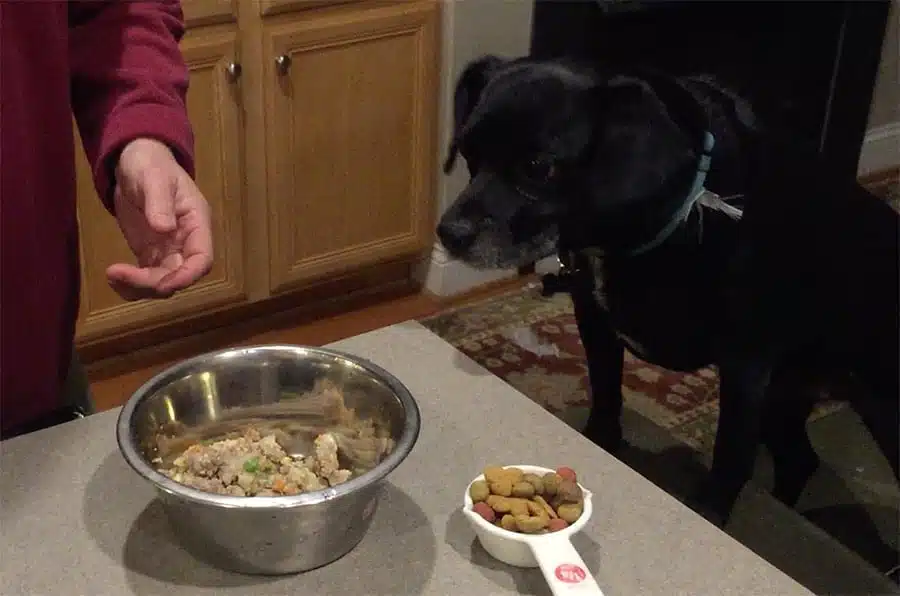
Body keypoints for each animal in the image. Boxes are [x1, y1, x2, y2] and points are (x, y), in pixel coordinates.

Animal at [438, 53, 900, 524]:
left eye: (538, 167)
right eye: (469, 153)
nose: (448, 233)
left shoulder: (745, 370)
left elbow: (730, 462)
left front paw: (710, 517)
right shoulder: (596, 324)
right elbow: (606, 399)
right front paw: (600, 446)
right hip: (784, 393)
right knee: (800, 460)